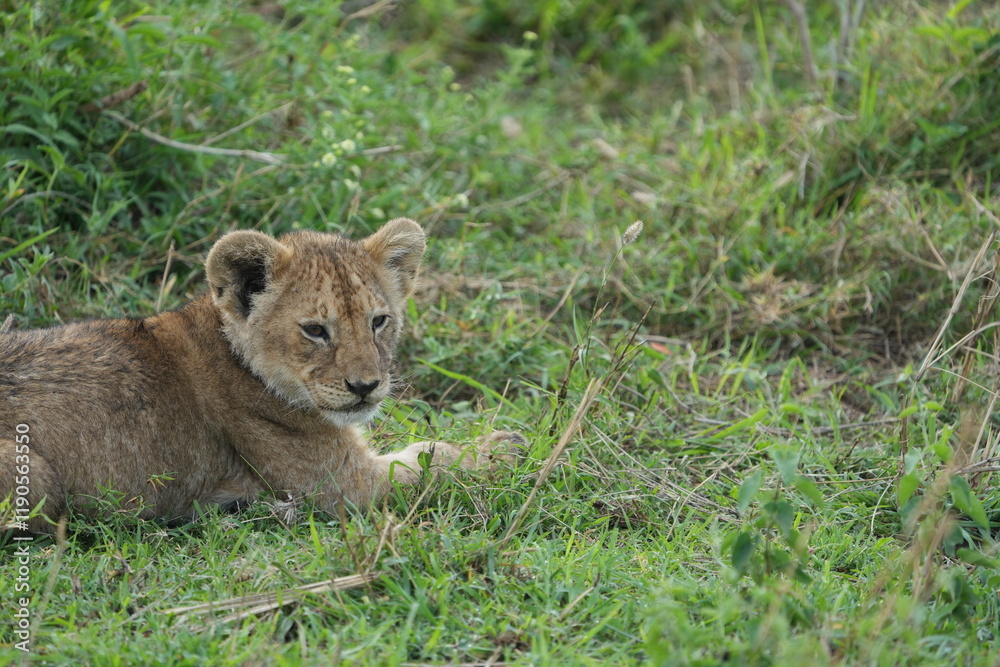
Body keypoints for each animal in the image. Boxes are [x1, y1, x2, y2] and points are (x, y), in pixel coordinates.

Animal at [0, 218, 524, 532]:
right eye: (315, 330)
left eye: (379, 321)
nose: (365, 387)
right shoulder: (343, 486)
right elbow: (431, 465)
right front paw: (501, 450)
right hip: (37, 477)